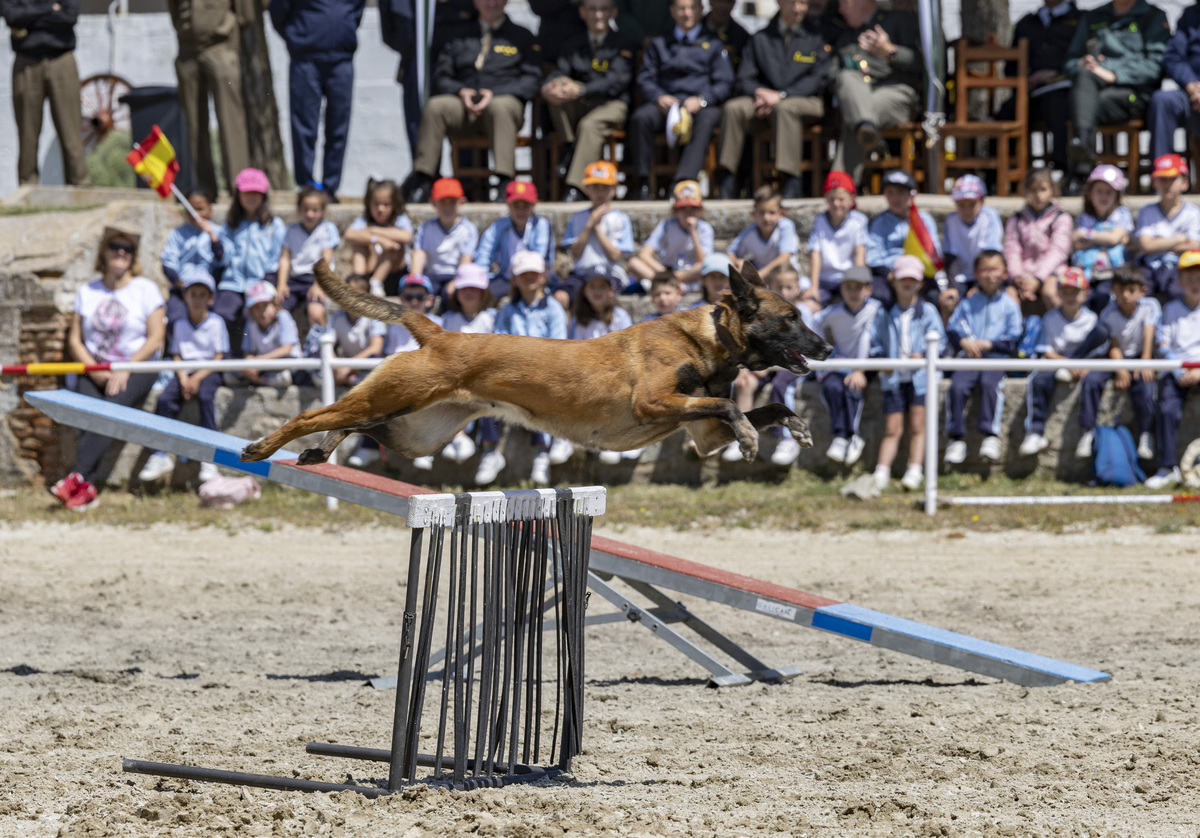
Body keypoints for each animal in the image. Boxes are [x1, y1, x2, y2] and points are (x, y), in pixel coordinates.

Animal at [238, 258, 830, 465]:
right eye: (791, 317)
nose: (825, 347)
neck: (709, 337)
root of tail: (439, 333)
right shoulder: (656, 401)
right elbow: (731, 407)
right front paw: (752, 439)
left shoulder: (702, 432)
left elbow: (766, 406)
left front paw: (797, 427)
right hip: (396, 396)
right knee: (313, 414)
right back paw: (263, 446)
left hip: (417, 429)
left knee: (356, 425)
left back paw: (320, 451)